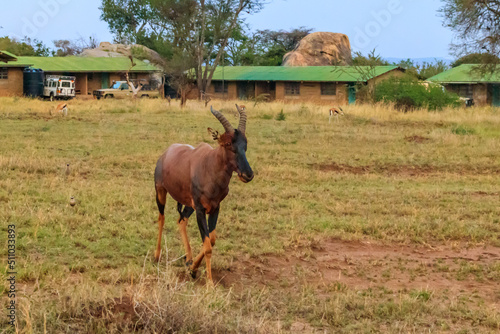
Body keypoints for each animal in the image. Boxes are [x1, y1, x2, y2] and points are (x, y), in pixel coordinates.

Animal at [153, 103, 254, 284]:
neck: (210, 166)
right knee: (161, 219)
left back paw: (188, 259)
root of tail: (166, 152)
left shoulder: (215, 208)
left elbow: (211, 241)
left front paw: (193, 269)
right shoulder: (200, 210)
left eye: (245, 144)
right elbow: (207, 246)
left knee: (181, 220)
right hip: (160, 192)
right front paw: (210, 284)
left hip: (188, 203)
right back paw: (156, 256)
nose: (248, 174)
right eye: (228, 143)